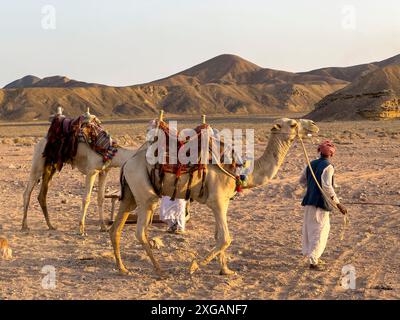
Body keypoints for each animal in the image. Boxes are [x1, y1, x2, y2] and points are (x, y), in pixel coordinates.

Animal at [108, 117, 318, 276]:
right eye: (293, 124)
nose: (314, 125)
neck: (241, 170)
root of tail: (127, 162)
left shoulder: (221, 203)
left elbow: (219, 236)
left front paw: (225, 270)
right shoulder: (217, 201)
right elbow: (225, 238)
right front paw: (194, 266)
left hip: (129, 195)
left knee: (115, 228)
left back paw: (122, 268)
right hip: (145, 194)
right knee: (140, 231)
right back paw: (159, 270)